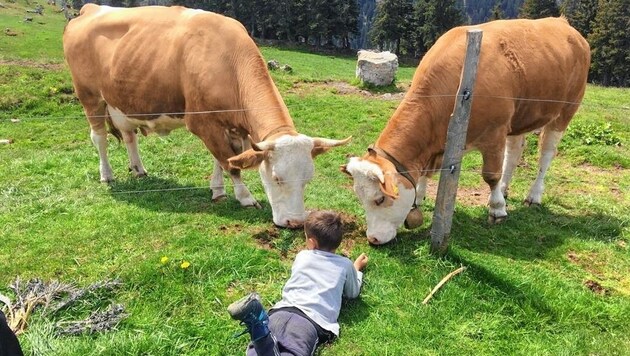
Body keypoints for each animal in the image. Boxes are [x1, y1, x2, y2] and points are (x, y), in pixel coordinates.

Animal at [62, 4, 350, 228]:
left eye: (308, 179)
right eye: (277, 178)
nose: (296, 223)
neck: (228, 62)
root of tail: (90, 8)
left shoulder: (230, 126)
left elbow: (223, 158)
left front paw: (218, 190)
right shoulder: (202, 122)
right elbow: (229, 162)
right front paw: (245, 197)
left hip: (122, 100)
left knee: (129, 135)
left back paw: (139, 169)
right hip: (90, 97)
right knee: (99, 138)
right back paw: (106, 174)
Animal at [344, 16, 592, 245]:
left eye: (379, 199)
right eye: (360, 198)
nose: (373, 238)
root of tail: (562, 22)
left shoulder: (494, 133)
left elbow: (491, 175)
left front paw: (497, 209)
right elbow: (427, 173)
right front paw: (422, 197)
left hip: (566, 110)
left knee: (546, 155)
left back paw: (533, 195)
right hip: (521, 116)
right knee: (514, 152)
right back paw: (505, 189)